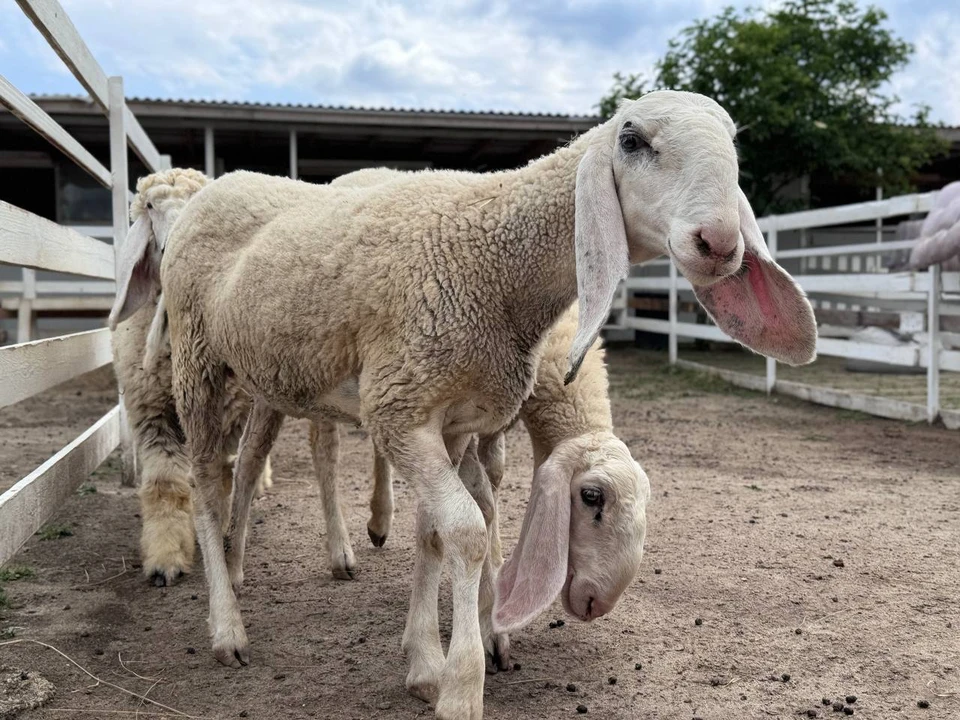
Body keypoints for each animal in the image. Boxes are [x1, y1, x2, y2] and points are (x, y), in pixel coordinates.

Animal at [110, 91, 816, 720]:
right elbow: (470, 533)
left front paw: (424, 661)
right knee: (206, 482)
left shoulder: (450, 423)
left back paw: (238, 564)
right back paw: (226, 624)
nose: (719, 242)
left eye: (733, 145)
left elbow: (433, 533)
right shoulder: (399, 408)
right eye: (632, 139)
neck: (497, 262)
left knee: (250, 464)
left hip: (266, 376)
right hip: (198, 364)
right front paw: (459, 684)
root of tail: (217, 187)